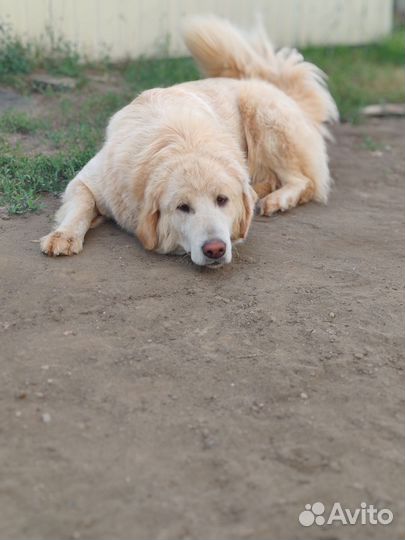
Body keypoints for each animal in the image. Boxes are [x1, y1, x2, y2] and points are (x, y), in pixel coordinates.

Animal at [41, 16, 338, 268]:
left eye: (222, 200)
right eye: (183, 208)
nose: (215, 249)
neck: (182, 141)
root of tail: (270, 84)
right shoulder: (86, 182)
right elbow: (80, 208)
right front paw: (64, 235)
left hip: (264, 118)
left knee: (304, 181)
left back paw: (277, 200)